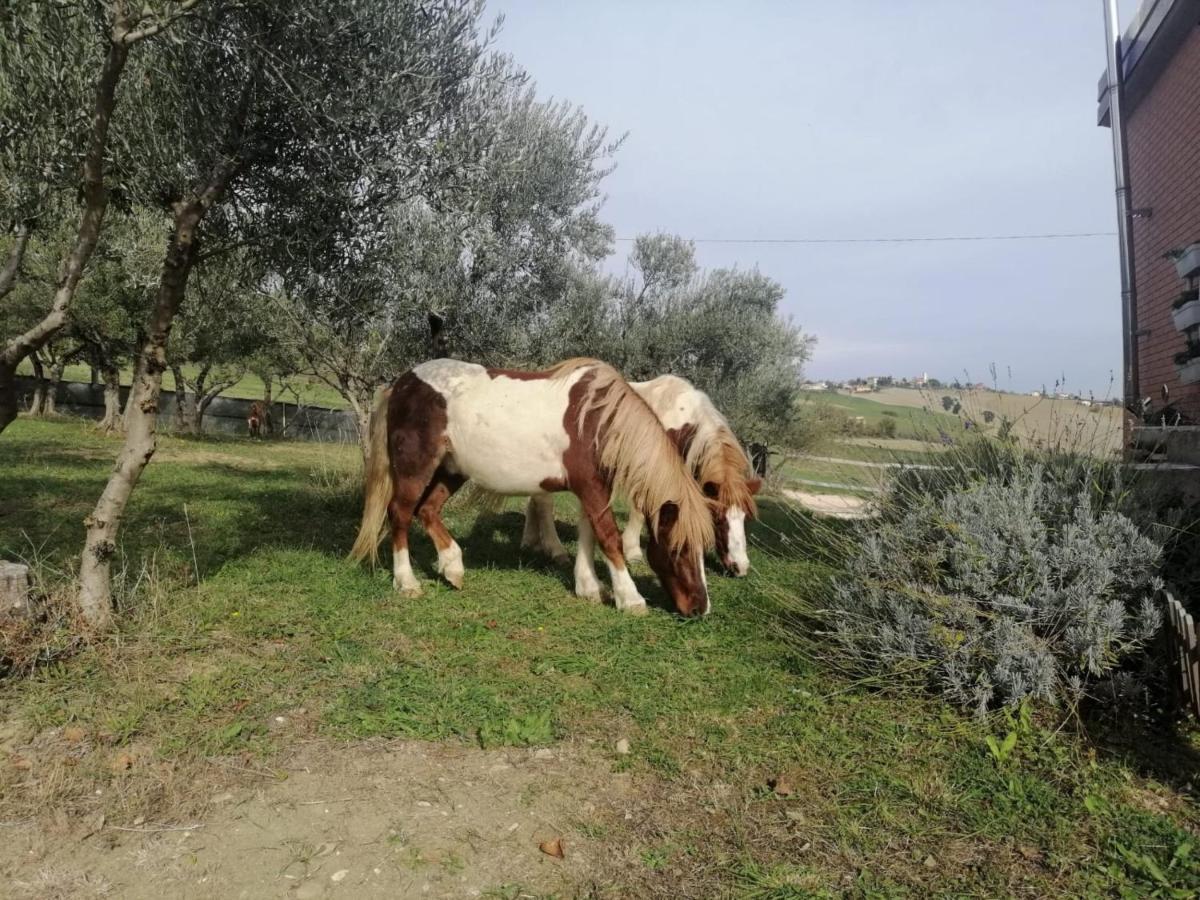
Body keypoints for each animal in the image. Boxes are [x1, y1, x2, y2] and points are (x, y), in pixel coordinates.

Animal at [350, 360, 715, 619]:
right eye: (678, 549)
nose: (700, 608)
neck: (597, 422)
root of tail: (402, 383)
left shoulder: (589, 490)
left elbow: (588, 534)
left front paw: (590, 588)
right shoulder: (593, 488)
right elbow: (608, 537)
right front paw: (630, 598)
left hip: (452, 470)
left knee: (427, 510)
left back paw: (452, 568)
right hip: (416, 468)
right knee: (401, 514)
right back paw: (407, 582)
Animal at [525, 374, 758, 578]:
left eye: (745, 517)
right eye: (718, 518)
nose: (741, 567)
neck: (676, 419)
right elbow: (638, 511)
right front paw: (633, 551)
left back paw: (531, 541)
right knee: (543, 502)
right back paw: (555, 550)